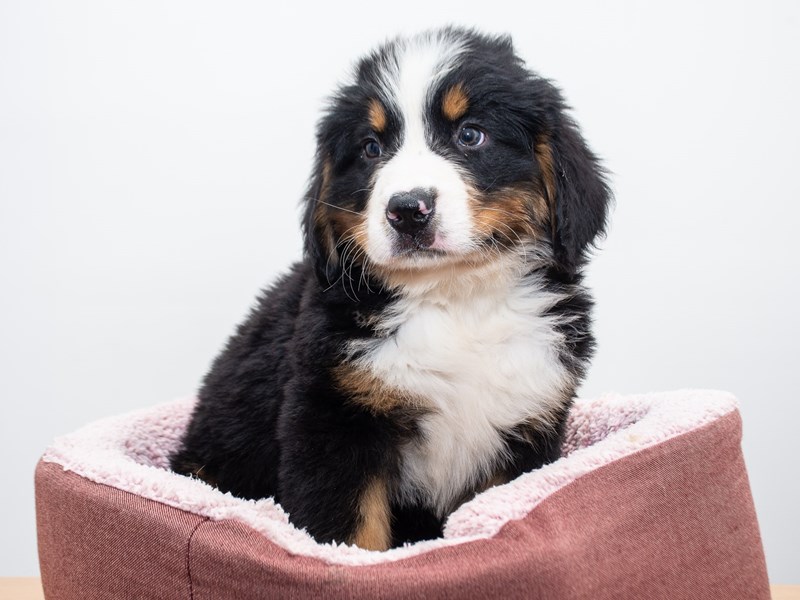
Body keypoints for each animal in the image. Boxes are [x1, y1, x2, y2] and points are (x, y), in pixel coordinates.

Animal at [170, 28, 612, 552]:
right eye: (370, 147)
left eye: (470, 134)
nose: (407, 210)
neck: (454, 300)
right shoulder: (334, 420)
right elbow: (350, 531)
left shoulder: (528, 428)